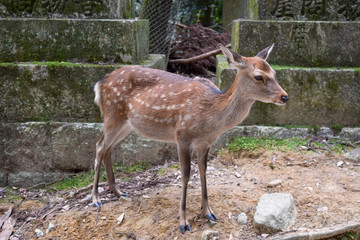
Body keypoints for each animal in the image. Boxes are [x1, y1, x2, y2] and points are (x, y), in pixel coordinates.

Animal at [91, 44, 288, 232]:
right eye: (258, 76)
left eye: (274, 73)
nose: (284, 96)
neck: (211, 118)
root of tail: (99, 84)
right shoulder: (182, 136)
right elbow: (185, 175)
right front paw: (183, 222)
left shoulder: (206, 142)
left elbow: (203, 170)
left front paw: (208, 212)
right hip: (112, 115)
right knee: (99, 146)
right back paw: (96, 198)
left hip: (126, 124)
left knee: (108, 148)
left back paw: (118, 192)